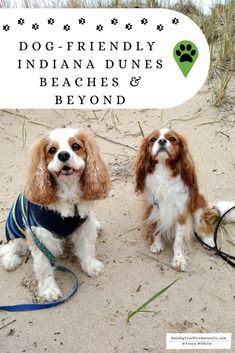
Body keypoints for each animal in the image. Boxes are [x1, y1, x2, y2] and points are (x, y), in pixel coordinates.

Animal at [0, 126, 232, 300]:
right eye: (51, 150)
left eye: (76, 146)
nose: (64, 155)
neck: (69, 195)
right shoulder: (40, 235)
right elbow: (44, 266)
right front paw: (49, 290)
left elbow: (86, 249)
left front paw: (91, 267)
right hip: (16, 231)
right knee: (11, 245)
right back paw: (10, 259)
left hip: (197, 207)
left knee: (202, 225)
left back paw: (208, 240)